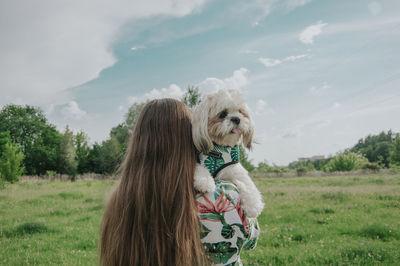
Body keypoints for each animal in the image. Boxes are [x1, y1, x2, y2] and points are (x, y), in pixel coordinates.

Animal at [192, 89, 264, 218]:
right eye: (222, 114)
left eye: (240, 112)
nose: (236, 118)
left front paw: (253, 205)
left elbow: (246, 183)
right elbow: (199, 167)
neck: (218, 151)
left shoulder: (233, 168)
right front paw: (205, 182)